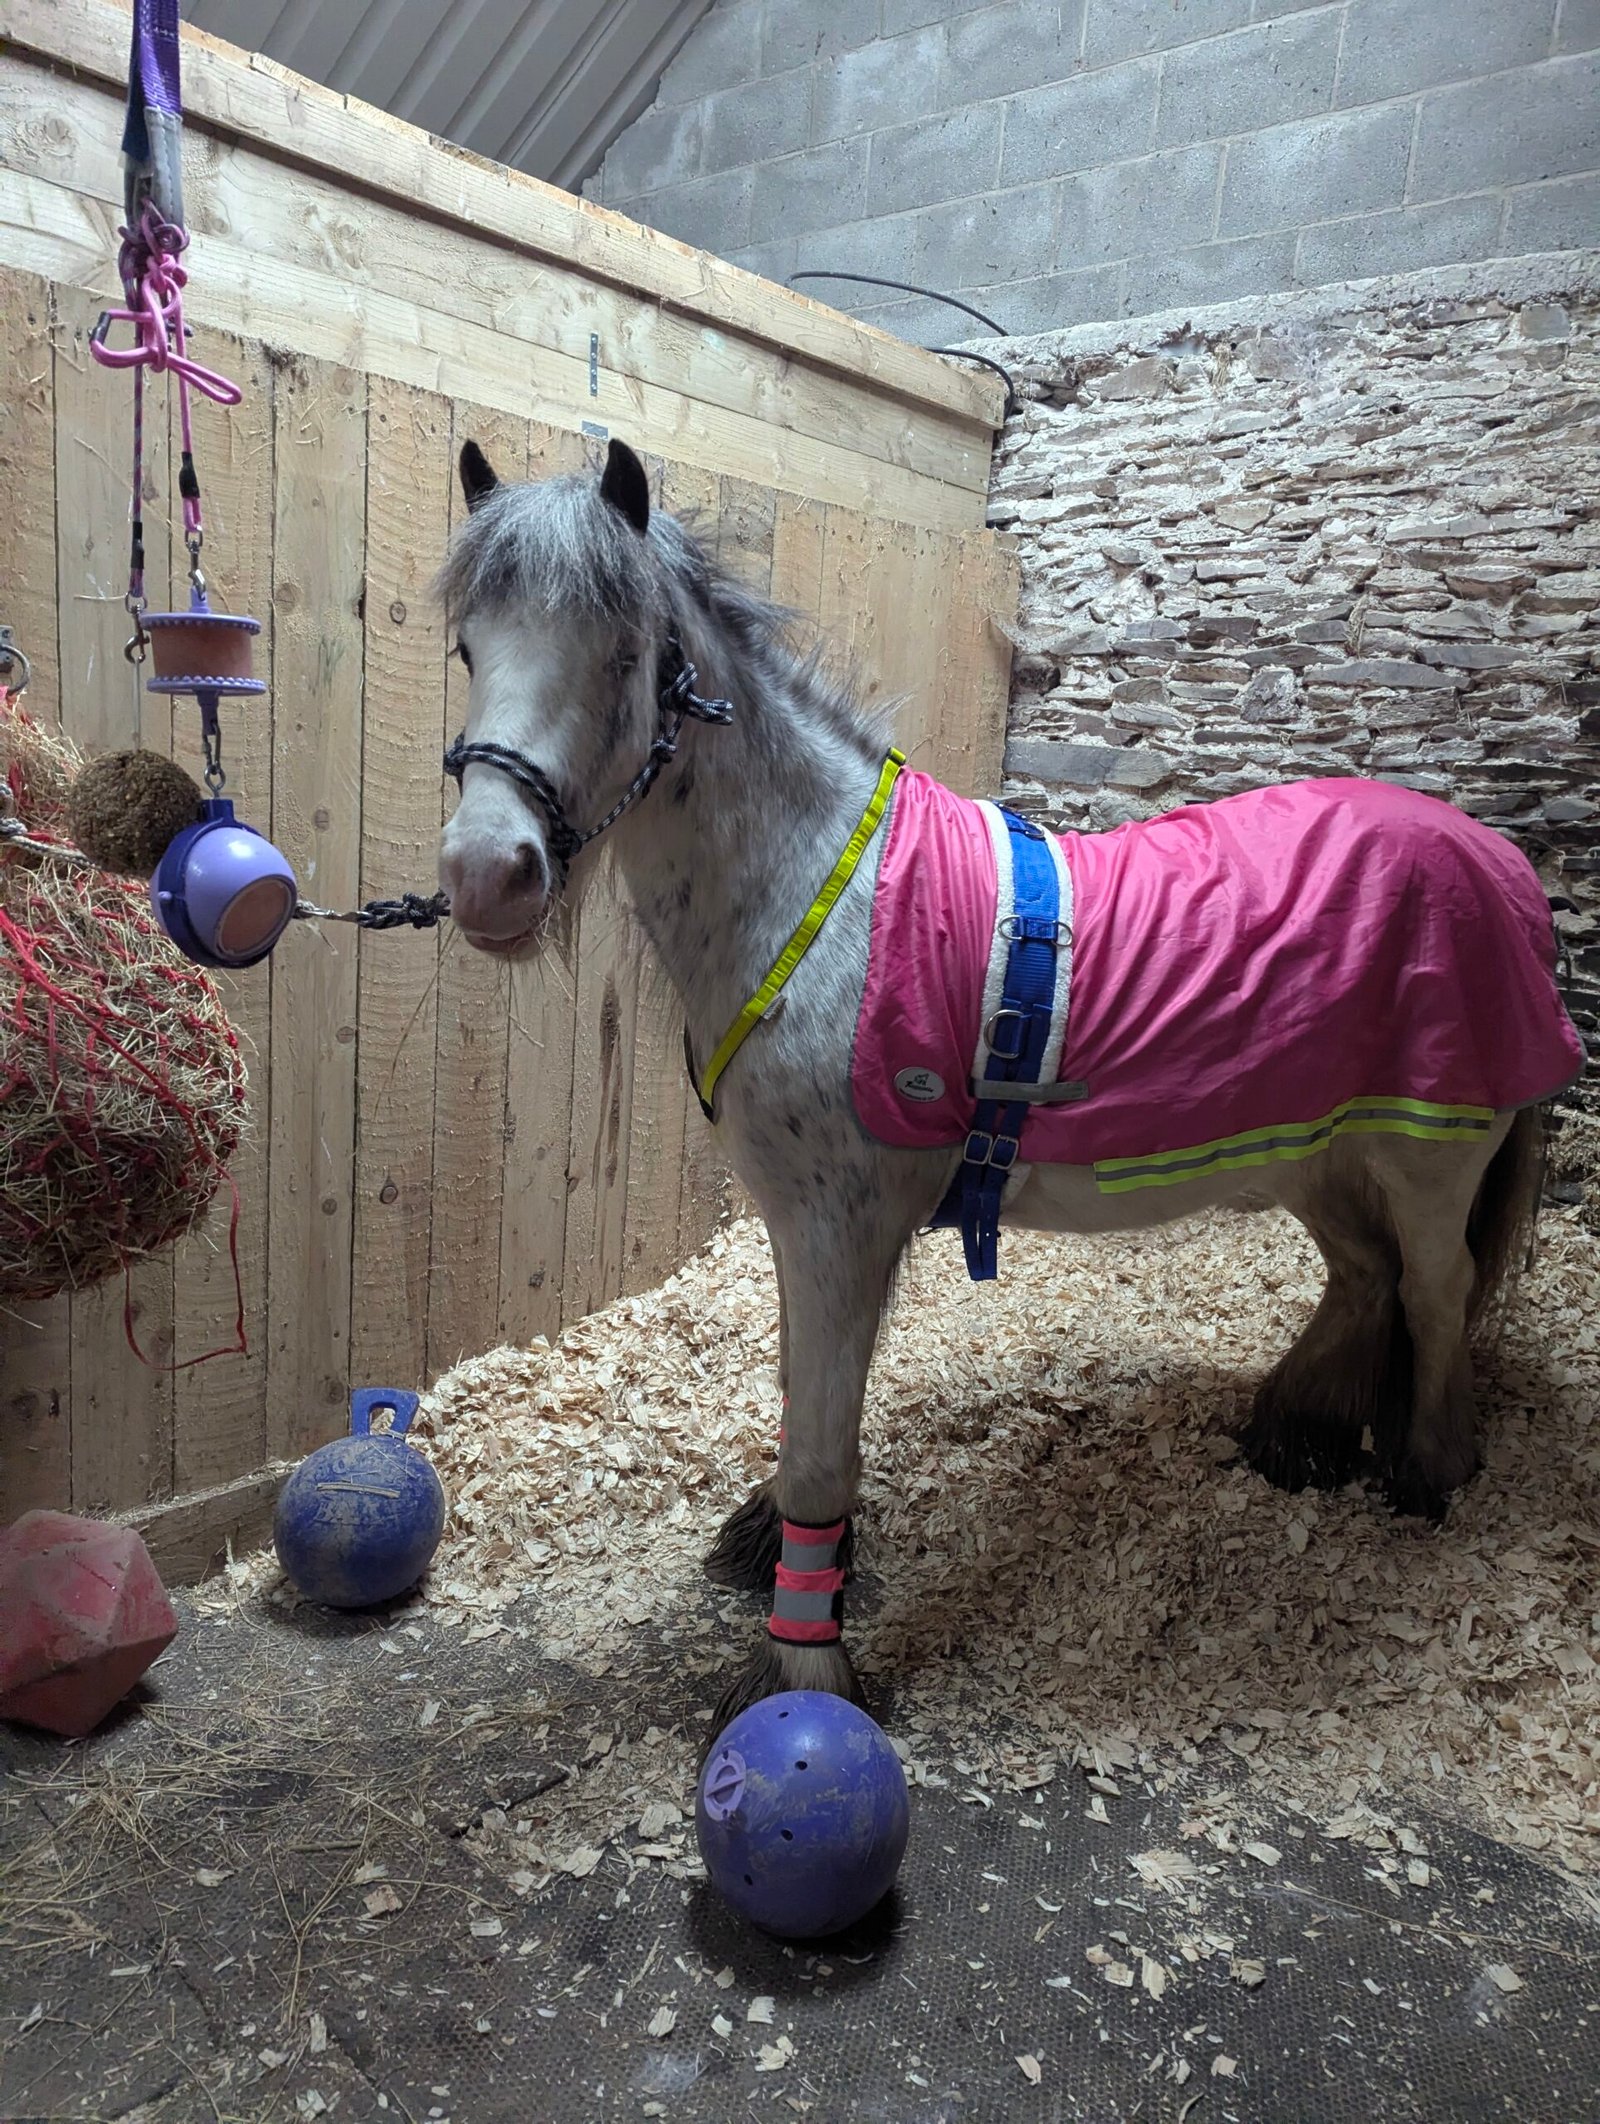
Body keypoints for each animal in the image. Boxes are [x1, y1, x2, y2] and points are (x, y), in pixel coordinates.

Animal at [435, 437, 1583, 1730]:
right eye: (468, 647)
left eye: (626, 655)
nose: (485, 875)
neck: (819, 904)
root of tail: (1498, 864)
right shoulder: (805, 1224)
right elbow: (802, 1392)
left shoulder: (840, 1225)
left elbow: (822, 1444)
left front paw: (804, 1665)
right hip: (1313, 1153)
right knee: (1366, 1276)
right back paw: (1299, 1426)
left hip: (1429, 1156)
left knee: (1436, 1289)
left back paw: (1428, 1471)